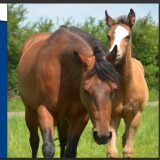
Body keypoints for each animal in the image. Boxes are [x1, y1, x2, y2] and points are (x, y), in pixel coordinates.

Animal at [18, 26, 119, 158]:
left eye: (114, 89)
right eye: (85, 90)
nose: (103, 136)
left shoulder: (81, 116)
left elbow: (70, 149)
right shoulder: (45, 110)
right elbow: (48, 148)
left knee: (62, 139)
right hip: (30, 111)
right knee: (34, 141)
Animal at [105, 8, 149, 158]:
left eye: (128, 36)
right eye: (108, 35)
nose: (113, 54)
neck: (125, 85)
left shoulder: (135, 115)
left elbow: (128, 150)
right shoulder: (113, 115)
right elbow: (112, 151)